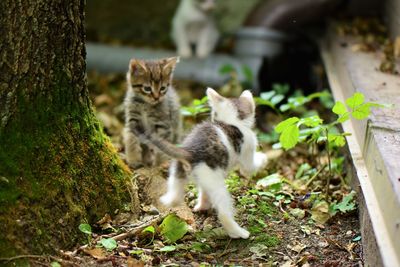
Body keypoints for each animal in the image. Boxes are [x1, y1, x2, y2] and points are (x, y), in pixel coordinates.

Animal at [133, 88, 268, 241]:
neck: (229, 121)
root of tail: (190, 151)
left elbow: (204, 191)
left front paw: (203, 203)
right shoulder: (248, 147)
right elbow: (250, 167)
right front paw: (264, 158)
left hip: (179, 170)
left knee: (174, 193)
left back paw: (174, 201)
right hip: (215, 182)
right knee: (223, 212)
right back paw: (238, 232)